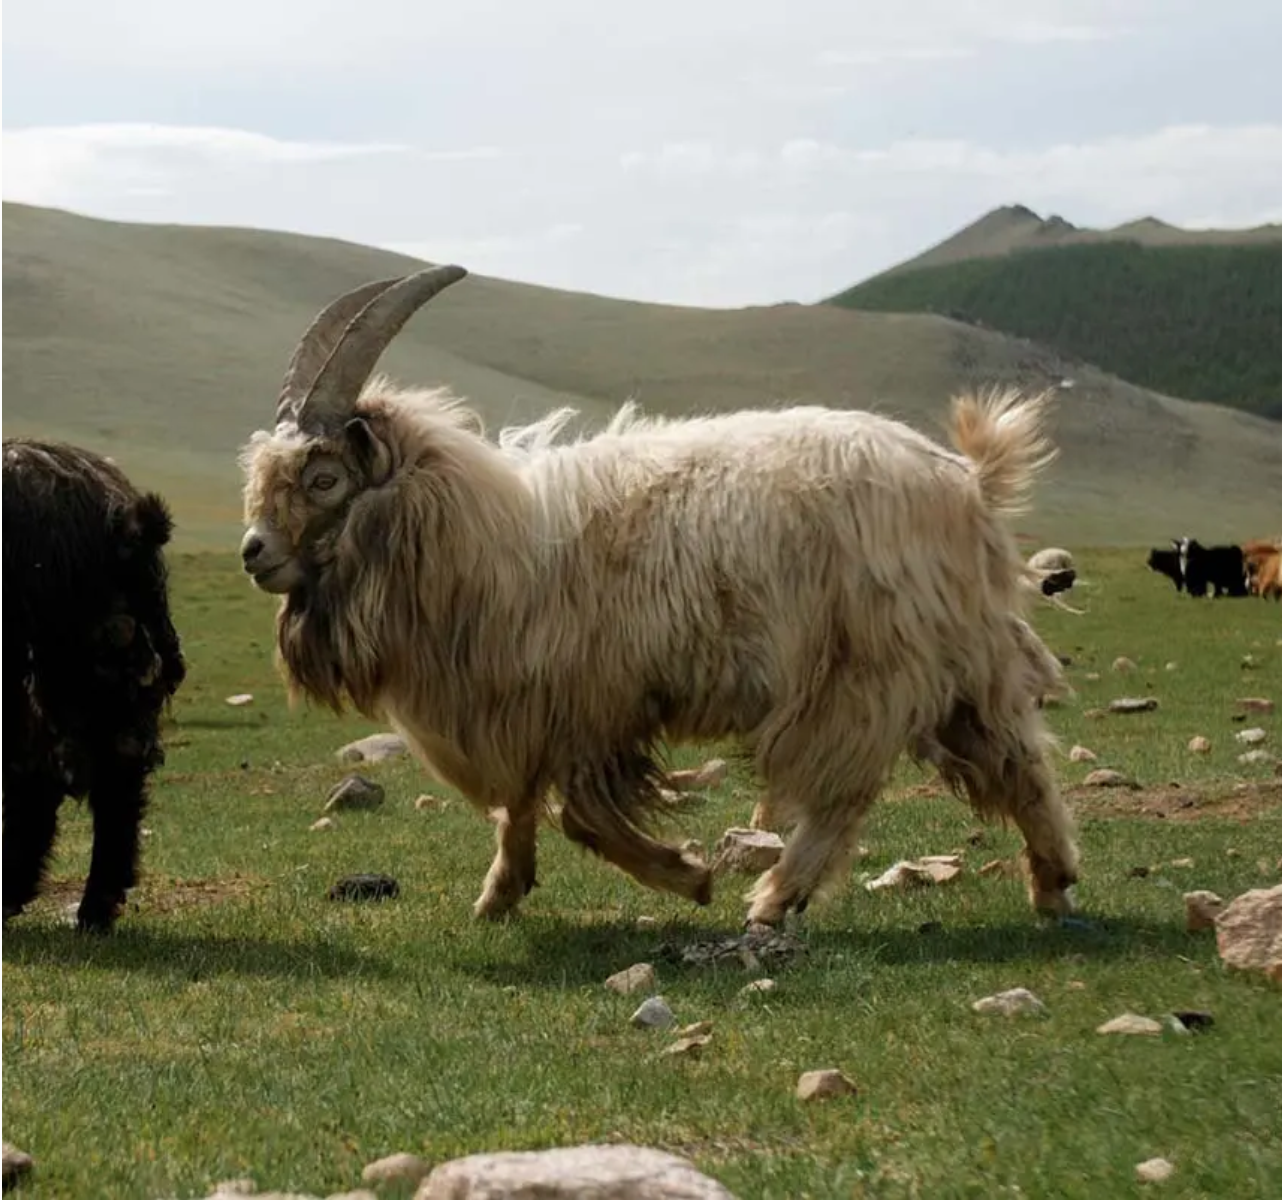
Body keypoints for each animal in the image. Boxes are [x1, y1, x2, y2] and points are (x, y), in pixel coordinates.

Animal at [238, 266, 1079, 928]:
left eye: (323, 478)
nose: (253, 553)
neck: (483, 532)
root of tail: (965, 480)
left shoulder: (587, 702)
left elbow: (581, 819)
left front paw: (687, 877)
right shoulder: (527, 710)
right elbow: (519, 807)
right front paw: (500, 893)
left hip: (862, 669)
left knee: (845, 792)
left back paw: (776, 897)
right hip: (960, 663)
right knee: (1017, 763)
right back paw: (1053, 884)